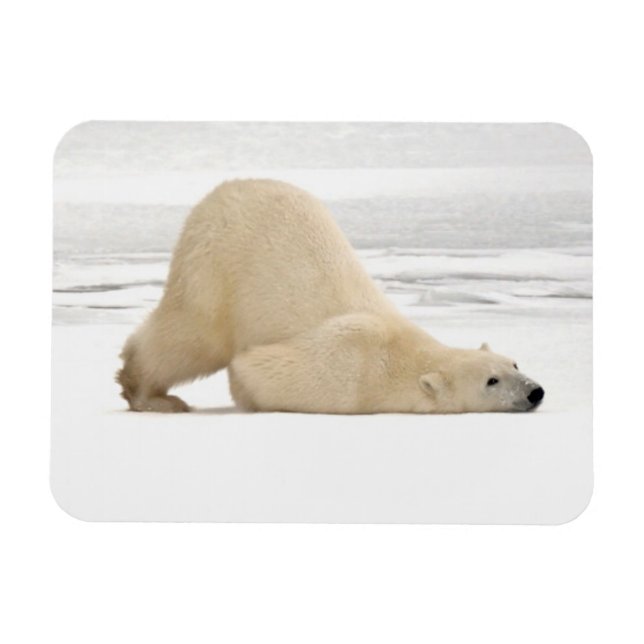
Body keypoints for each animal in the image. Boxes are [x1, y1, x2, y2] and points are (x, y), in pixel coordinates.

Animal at [117, 178, 544, 414]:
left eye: (515, 363)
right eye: (491, 381)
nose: (535, 391)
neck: (400, 353)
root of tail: (224, 190)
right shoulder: (349, 369)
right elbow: (253, 367)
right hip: (215, 266)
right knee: (190, 337)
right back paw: (151, 396)